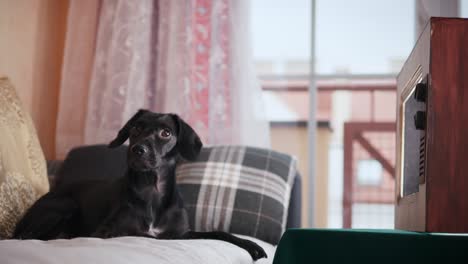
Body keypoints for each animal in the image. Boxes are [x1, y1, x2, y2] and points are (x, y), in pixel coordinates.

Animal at [13, 109, 266, 260]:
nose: (138, 150)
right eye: (135, 128)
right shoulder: (106, 232)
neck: (151, 190)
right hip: (65, 204)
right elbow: (145, 235)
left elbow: (217, 232)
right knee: (28, 236)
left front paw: (250, 245)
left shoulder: (181, 232)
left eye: (166, 133)